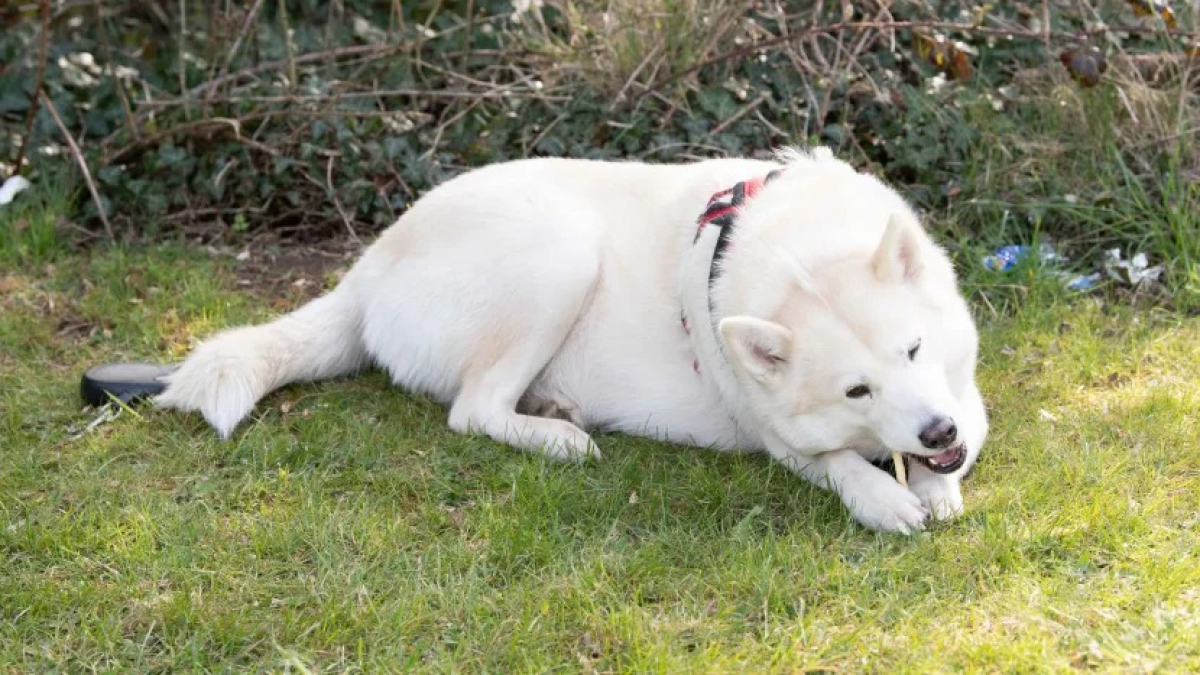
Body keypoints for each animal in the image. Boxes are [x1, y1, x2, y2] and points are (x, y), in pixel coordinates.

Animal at [157, 145, 984, 530]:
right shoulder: (781, 433)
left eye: (913, 349)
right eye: (855, 389)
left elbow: (950, 447)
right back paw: (556, 437)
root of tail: (368, 265)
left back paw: (553, 408)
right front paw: (882, 496)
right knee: (474, 409)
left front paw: (933, 481)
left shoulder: (959, 397)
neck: (799, 257)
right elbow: (839, 459)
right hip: (559, 250)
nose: (936, 431)